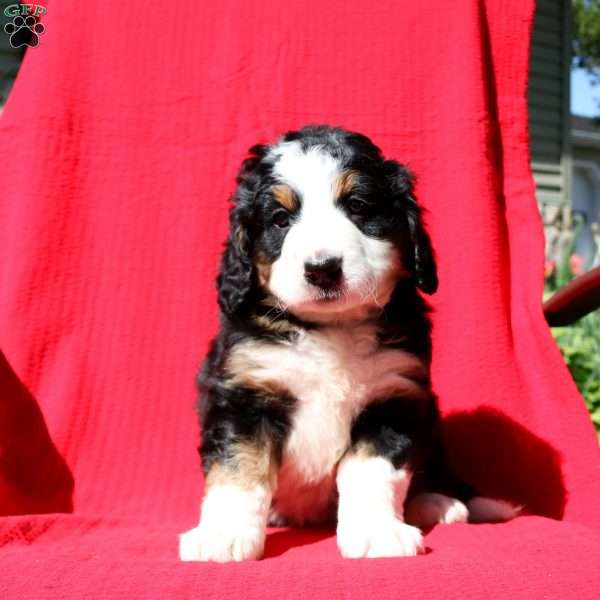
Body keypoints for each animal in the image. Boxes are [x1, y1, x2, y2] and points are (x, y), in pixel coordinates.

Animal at [180, 123, 516, 564]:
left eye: (358, 206)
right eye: (280, 219)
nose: (322, 269)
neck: (330, 329)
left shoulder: (393, 396)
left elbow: (370, 471)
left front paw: (378, 533)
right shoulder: (244, 395)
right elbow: (238, 471)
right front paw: (222, 534)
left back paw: (438, 502)